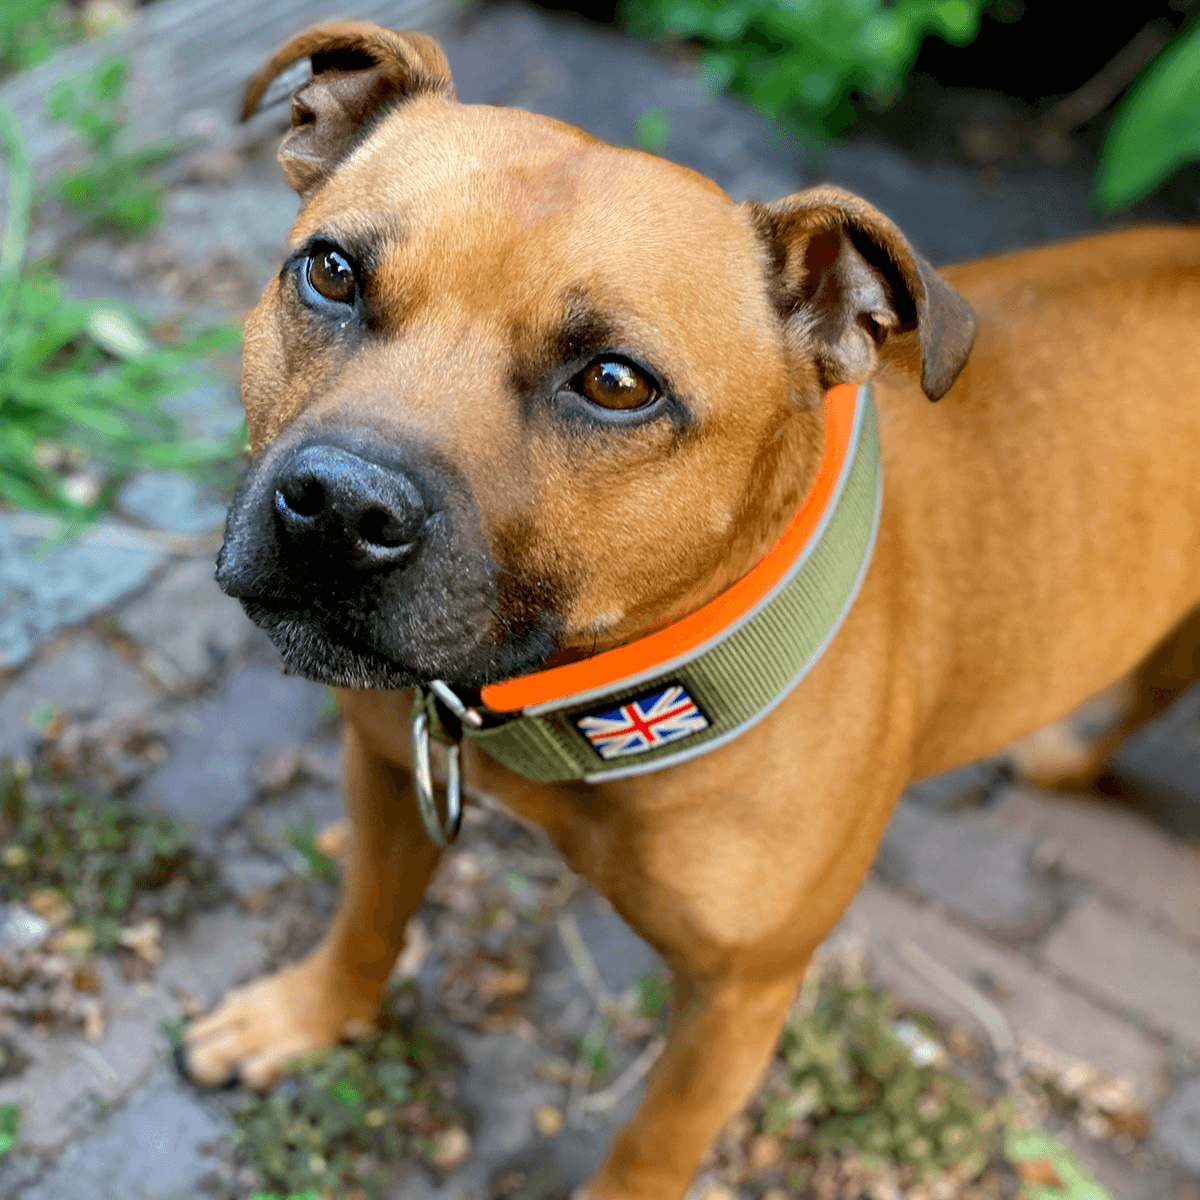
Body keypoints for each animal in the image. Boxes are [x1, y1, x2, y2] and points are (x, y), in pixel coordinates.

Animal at [182, 21, 1200, 1200]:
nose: (340, 508)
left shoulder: (739, 998)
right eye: (333, 272)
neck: (588, 697)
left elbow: (649, 1144)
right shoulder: (390, 774)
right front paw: (306, 1016)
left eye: (617, 382)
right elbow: (365, 920)